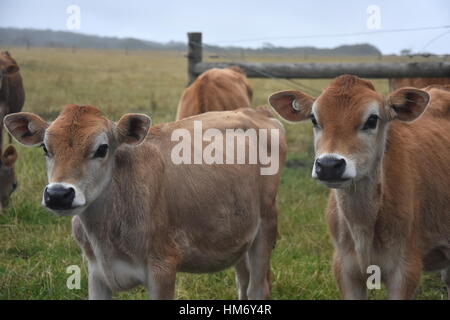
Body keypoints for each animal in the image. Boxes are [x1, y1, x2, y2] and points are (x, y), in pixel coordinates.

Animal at [5, 105, 286, 300]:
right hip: (238, 235)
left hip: (266, 224)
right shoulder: (96, 273)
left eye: (102, 149)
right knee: (244, 285)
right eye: (45, 148)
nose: (58, 194)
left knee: (258, 289)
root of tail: (253, 110)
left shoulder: (163, 268)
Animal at [268, 75, 450, 300]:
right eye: (314, 119)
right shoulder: (345, 268)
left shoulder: (406, 270)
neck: (363, 225)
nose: (329, 165)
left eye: (372, 120)